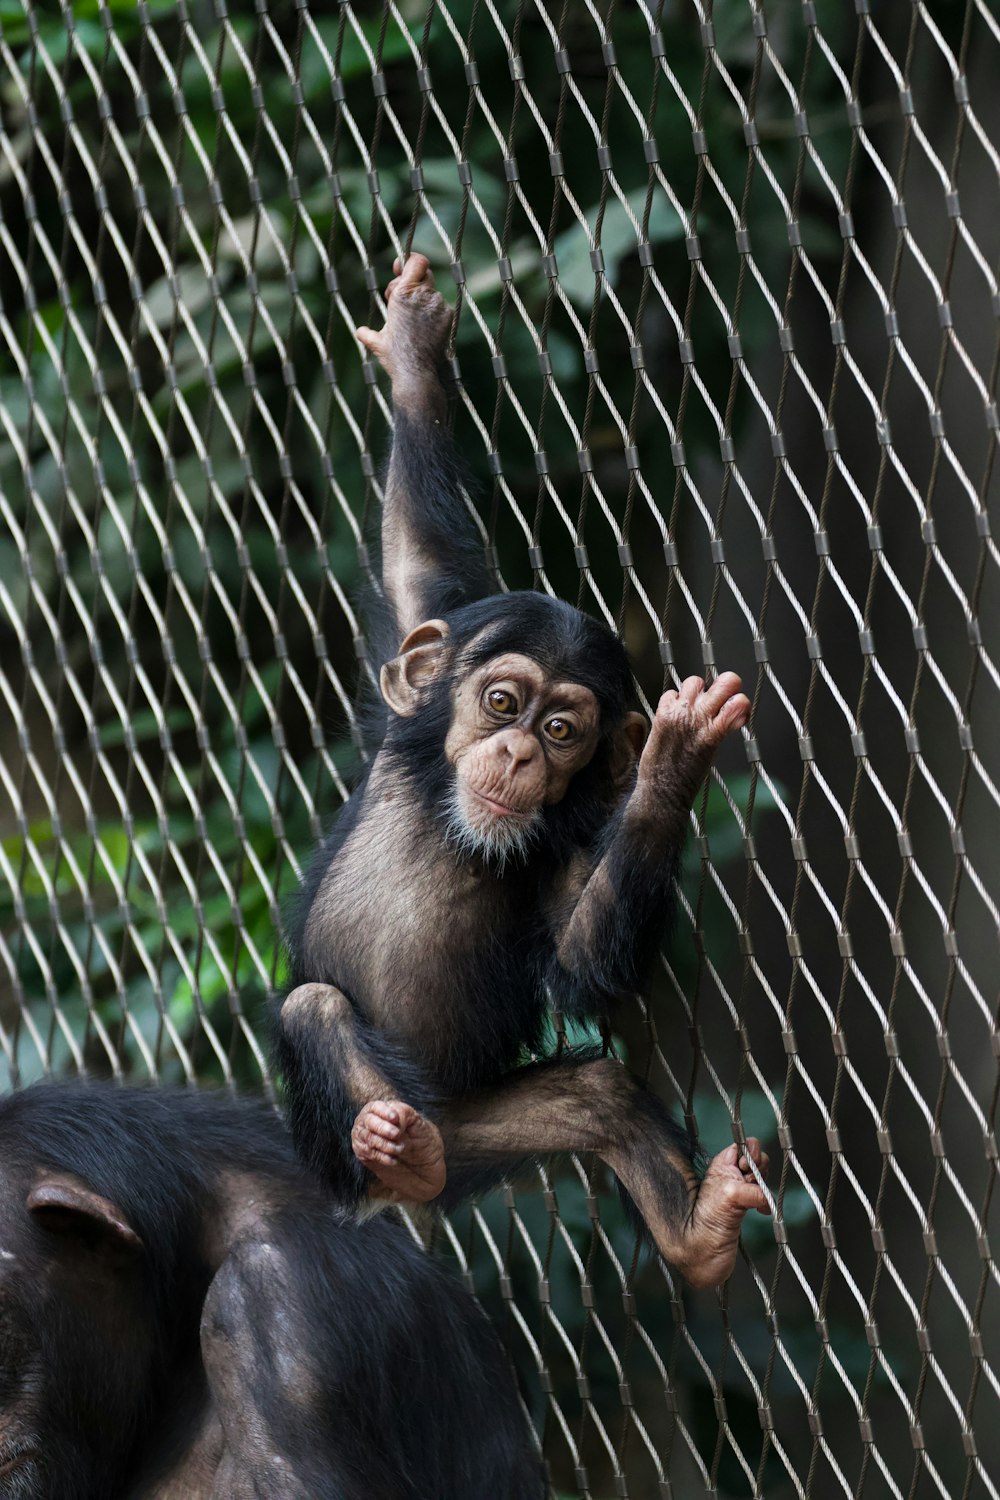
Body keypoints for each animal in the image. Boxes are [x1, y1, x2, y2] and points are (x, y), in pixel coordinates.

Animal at [277, 255, 773, 1290]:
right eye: (502, 704)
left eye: (561, 730)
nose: (515, 753)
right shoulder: (415, 691)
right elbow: (421, 568)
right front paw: (416, 361)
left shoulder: (577, 843)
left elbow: (583, 962)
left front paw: (671, 767)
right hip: (354, 1134)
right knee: (314, 1007)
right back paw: (390, 1145)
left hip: (482, 1128)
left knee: (595, 1097)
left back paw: (694, 1228)